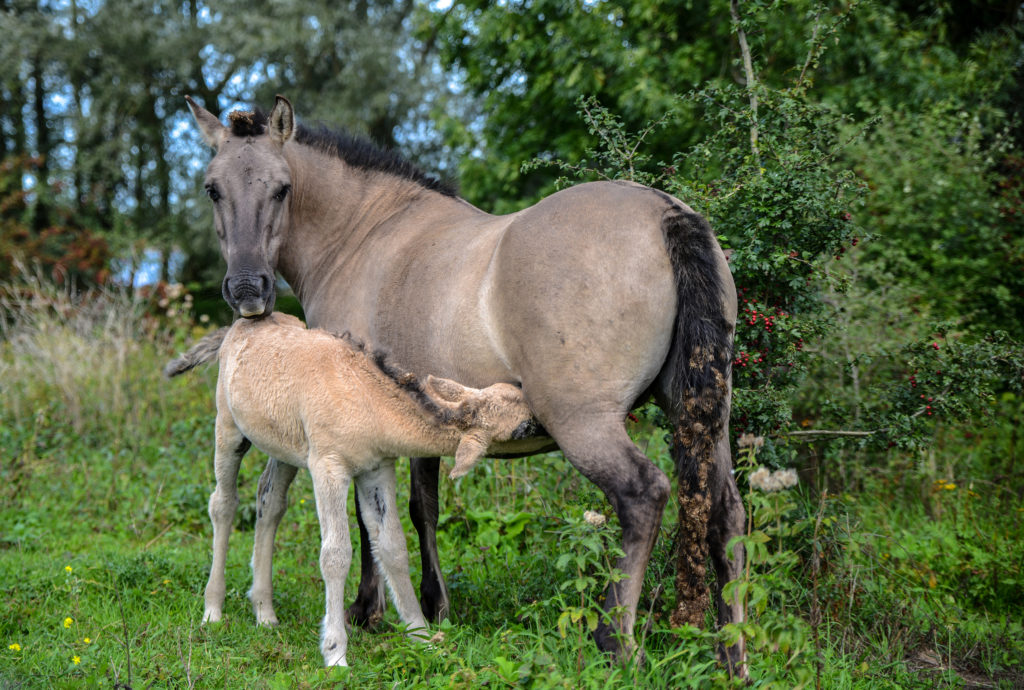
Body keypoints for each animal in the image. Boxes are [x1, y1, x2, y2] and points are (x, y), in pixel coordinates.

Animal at [165, 313, 536, 667]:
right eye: (525, 427)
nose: (544, 420)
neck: (366, 400)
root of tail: (238, 325)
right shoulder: (328, 467)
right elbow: (335, 554)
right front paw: (335, 652)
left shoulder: (377, 469)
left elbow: (393, 547)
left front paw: (420, 635)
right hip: (228, 428)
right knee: (223, 503)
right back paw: (213, 609)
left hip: (282, 446)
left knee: (269, 503)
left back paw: (265, 612)